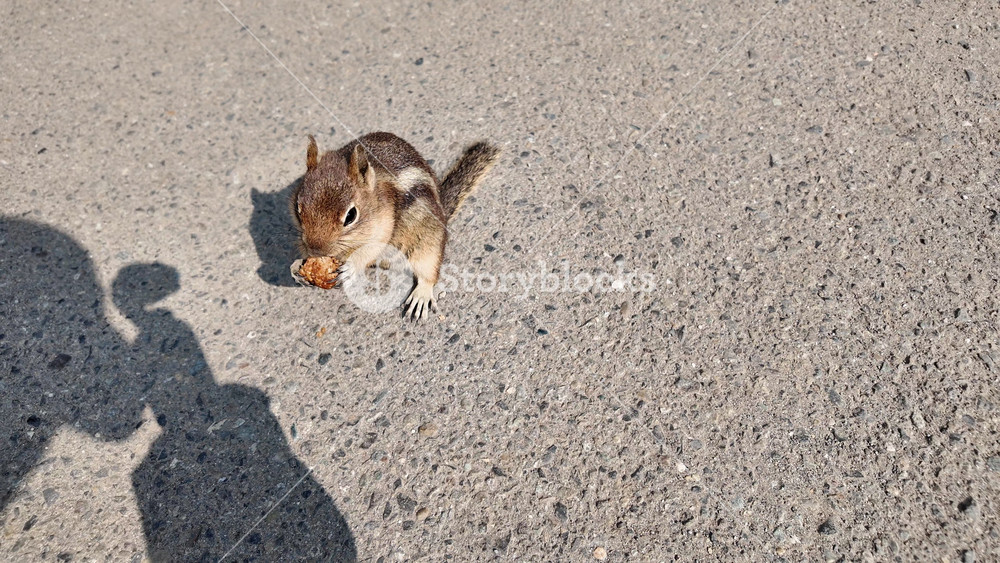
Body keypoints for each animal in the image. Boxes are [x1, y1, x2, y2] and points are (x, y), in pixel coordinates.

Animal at [291, 132, 500, 319]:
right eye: (298, 208)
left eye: (350, 215)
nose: (316, 250)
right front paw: (297, 268)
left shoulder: (382, 228)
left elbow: (368, 250)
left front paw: (350, 267)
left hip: (428, 243)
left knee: (429, 271)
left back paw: (421, 294)